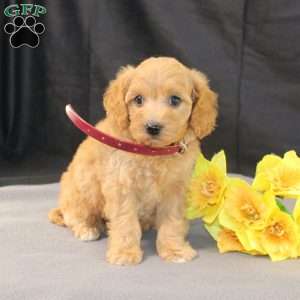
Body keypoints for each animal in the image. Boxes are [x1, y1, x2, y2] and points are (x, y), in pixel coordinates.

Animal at [49, 56, 218, 264]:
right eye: (138, 99)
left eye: (175, 100)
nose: (153, 127)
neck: (153, 152)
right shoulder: (122, 186)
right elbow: (125, 221)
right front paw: (125, 252)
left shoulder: (176, 189)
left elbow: (172, 221)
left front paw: (174, 250)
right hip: (83, 189)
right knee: (74, 214)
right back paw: (87, 228)